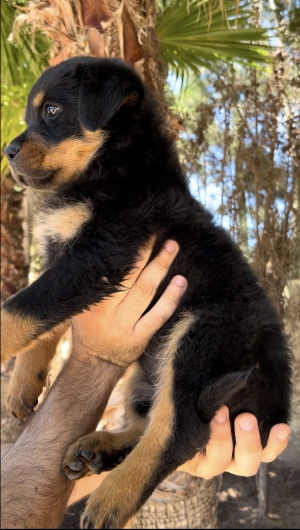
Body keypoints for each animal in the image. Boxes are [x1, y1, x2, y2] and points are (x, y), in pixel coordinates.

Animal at [2, 57, 292, 528]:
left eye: (52, 112)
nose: (7, 151)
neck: (113, 167)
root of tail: (276, 408)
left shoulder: (97, 258)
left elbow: (20, 309)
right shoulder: (64, 258)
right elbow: (42, 316)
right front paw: (24, 383)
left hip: (202, 334)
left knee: (179, 430)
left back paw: (112, 497)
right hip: (151, 367)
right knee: (149, 415)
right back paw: (98, 450)